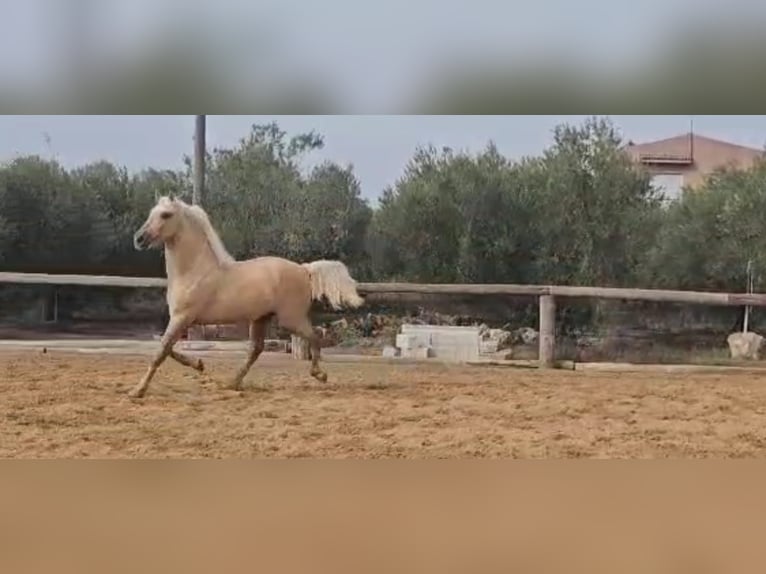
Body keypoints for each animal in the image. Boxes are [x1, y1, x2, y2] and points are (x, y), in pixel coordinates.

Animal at [130, 196, 366, 398]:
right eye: (152, 212)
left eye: (166, 214)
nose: (139, 239)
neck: (194, 271)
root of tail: (304, 269)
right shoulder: (181, 320)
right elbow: (167, 347)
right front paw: (199, 364)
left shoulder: (182, 318)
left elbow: (161, 351)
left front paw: (137, 391)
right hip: (261, 318)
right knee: (256, 350)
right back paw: (232, 383)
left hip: (290, 319)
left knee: (314, 336)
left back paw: (319, 374)